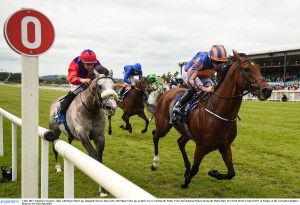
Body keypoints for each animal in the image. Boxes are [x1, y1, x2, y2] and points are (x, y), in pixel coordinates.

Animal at [151, 51, 274, 189]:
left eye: (259, 68)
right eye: (246, 69)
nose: (267, 90)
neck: (220, 113)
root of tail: (166, 92)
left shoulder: (225, 146)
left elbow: (231, 173)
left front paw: (213, 172)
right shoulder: (201, 146)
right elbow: (195, 169)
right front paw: (185, 183)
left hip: (186, 132)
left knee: (180, 142)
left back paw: (186, 168)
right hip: (164, 125)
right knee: (155, 135)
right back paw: (155, 163)